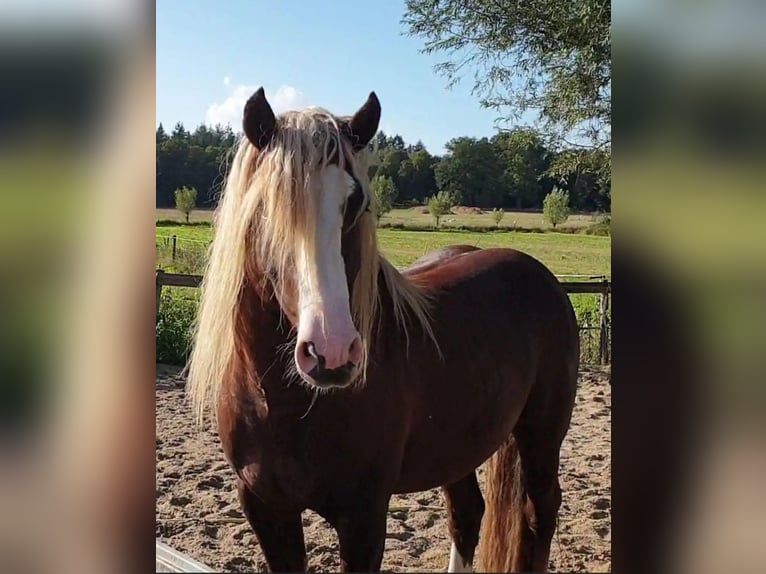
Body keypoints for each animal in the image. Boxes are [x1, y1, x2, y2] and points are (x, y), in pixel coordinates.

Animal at [189, 88, 580, 572]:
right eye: (267, 206)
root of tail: (540, 275)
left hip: (542, 436)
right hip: (458, 446)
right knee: (467, 513)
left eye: (356, 203)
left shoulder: (364, 515)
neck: (284, 406)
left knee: (537, 513)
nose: (332, 352)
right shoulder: (265, 507)